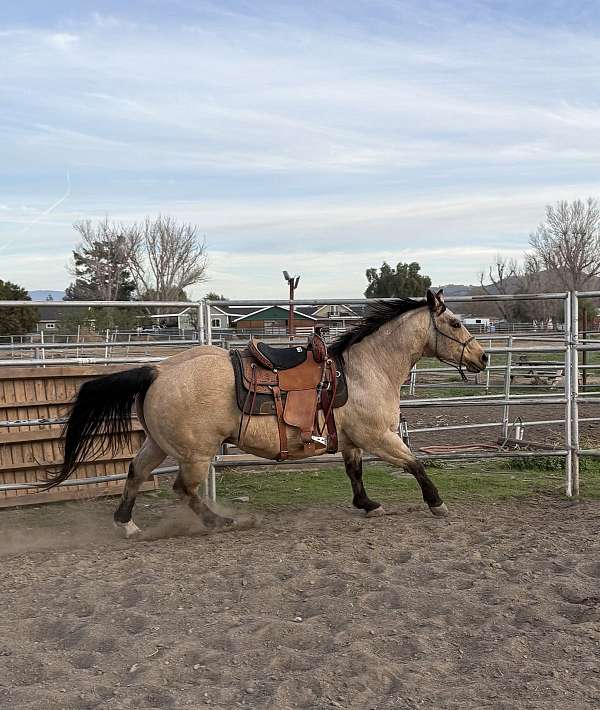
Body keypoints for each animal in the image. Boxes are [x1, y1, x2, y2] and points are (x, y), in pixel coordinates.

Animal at [42, 288, 487, 537]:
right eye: (454, 322)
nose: (482, 357)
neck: (365, 369)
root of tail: (159, 370)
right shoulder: (379, 436)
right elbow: (415, 464)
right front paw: (436, 503)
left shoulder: (353, 440)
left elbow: (355, 473)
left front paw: (367, 504)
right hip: (195, 454)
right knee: (183, 490)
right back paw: (222, 523)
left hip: (160, 443)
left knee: (136, 473)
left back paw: (127, 524)